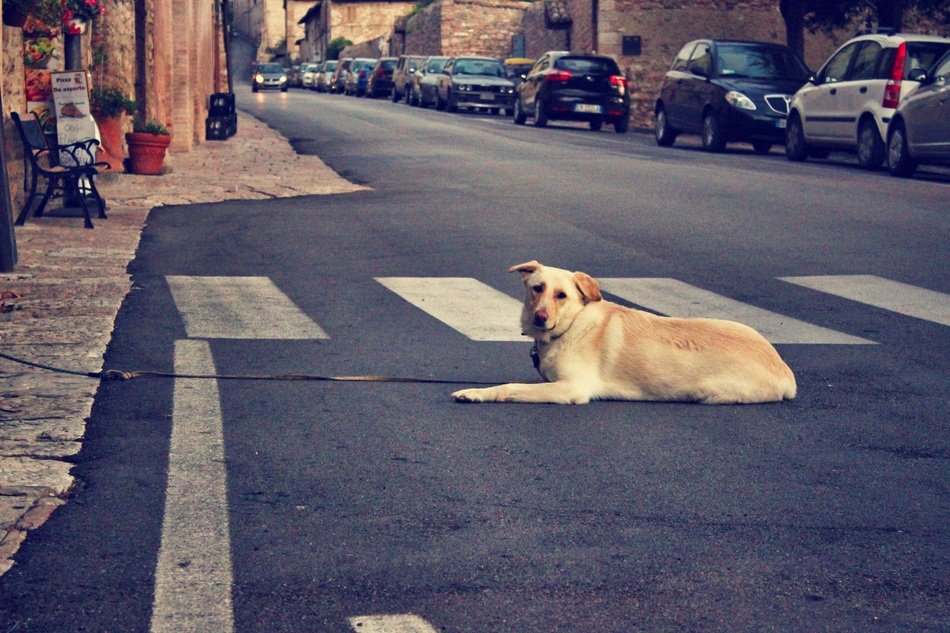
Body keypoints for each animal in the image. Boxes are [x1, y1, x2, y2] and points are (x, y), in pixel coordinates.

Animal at [452, 260, 796, 404]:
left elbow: (510, 387)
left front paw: (476, 394)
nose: (540, 317)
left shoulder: (571, 388)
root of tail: (783, 369)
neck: (573, 325)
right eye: (538, 288)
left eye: (561, 295)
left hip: (714, 392)